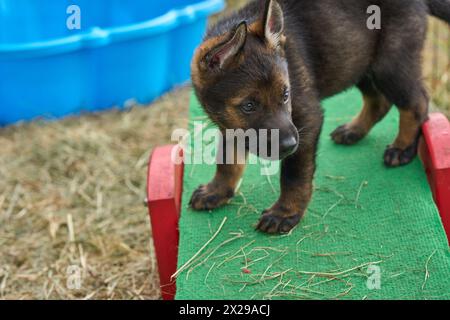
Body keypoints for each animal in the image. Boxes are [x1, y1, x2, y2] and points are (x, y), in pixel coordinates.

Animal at [189, 0, 450, 235]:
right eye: (249, 106)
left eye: (286, 95)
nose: (289, 145)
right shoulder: (231, 126)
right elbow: (227, 160)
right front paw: (217, 190)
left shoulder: (307, 118)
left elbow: (294, 174)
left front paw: (284, 213)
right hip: (359, 61)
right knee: (379, 101)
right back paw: (353, 131)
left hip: (390, 62)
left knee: (416, 102)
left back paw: (402, 148)